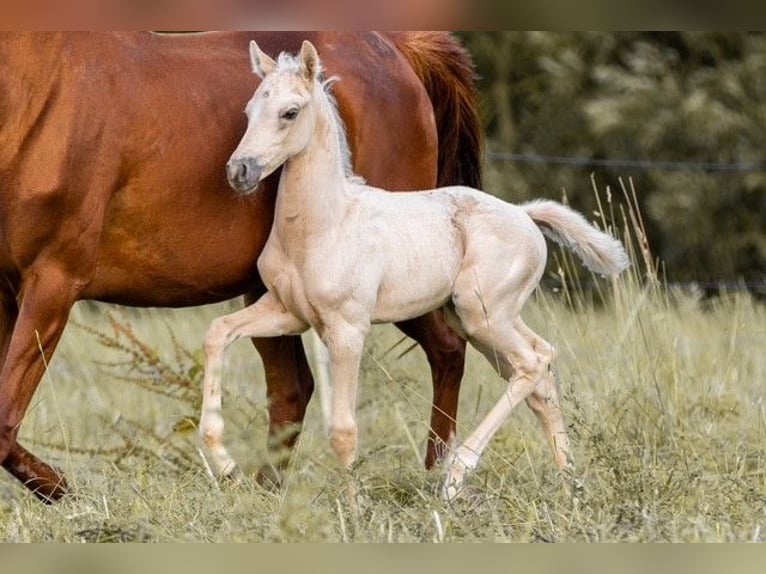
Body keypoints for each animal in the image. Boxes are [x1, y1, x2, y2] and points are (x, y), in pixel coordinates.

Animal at [0, 30, 480, 504]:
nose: (239, 171)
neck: (40, 89)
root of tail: (399, 49)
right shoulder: (7, 291)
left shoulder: (53, 284)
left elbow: (4, 422)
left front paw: (64, 490)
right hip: (272, 296)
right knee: (293, 390)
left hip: (397, 287)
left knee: (447, 350)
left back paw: (437, 477)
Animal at [201, 40, 632, 502]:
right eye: (249, 110)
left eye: (290, 112)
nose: (239, 171)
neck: (326, 223)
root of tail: (524, 214)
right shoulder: (287, 312)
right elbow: (218, 333)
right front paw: (224, 463)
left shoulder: (347, 329)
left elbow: (342, 429)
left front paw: (354, 507)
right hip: (478, 320)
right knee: (541, 368)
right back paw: (571, 486)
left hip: (484, 315)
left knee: (532, 364)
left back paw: (456, 476)